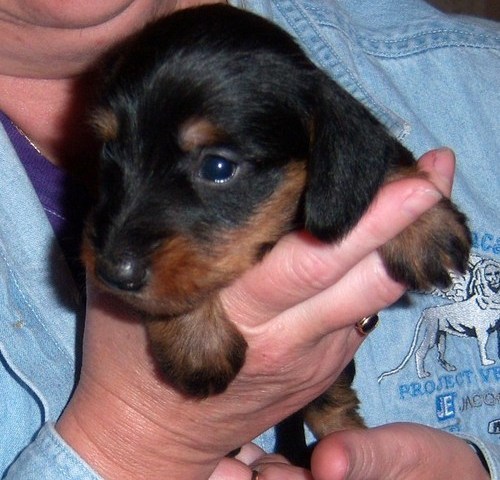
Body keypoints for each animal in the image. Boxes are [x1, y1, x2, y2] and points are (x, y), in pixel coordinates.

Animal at [81, 3, 468, 438]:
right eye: (109, 152)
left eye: (217, 166)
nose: (112, 273)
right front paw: (196, 341)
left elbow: (377, 161)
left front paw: (425, 225)